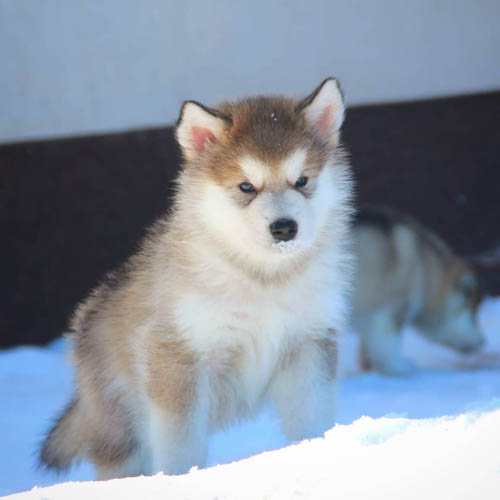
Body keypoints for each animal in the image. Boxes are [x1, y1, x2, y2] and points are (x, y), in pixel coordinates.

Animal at [40, 79, 356, 480]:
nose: (285, 227)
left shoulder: (308, 343)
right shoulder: (177, 354)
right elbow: (180, 443)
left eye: (302, 180)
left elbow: (311, 417)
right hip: (121, 429)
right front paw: (180, 479)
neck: (262, 278)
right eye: (246, 186)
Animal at [352, 206, 484, 376]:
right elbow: (389, 345)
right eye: (473, 313)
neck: (426, 269)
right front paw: (401, 368)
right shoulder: (390, 313)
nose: (483, 341)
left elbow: (369, 344)